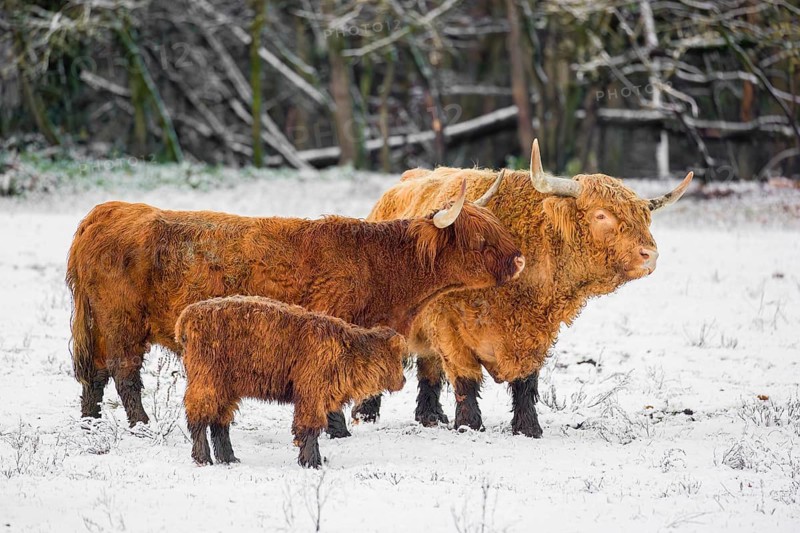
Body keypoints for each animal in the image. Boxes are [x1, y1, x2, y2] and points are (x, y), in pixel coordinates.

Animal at [66, 171, 525, 435]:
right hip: (122, 322)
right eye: (479, 239)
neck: (381, 267)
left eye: (498, 227)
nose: (520, 259)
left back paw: (90, 420)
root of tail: (107, 210)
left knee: (95, 374)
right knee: (124, 373)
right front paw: (337, 430)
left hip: (98, 323)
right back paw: (141, 424)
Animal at [177, 296, 408, 468]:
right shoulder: (311, 396)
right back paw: (204, 458)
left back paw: (229, 459)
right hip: (207, 383)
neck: (346, 351)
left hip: (227, 389)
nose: (403, 380)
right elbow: (309, 428)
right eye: (397, 358)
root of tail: (189, 314)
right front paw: (313, 462)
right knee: (199, 419)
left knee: (220, 422)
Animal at [352, 139, 693, 436]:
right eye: (601, 215)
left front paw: (528, 428)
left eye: (644, 218)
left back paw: (430, 415)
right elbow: (465, 379)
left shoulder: (534, 332)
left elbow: (526, 382)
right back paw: (366, 413)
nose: (650, 255)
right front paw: (469, 425)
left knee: (428, 367)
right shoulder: (450, 328)